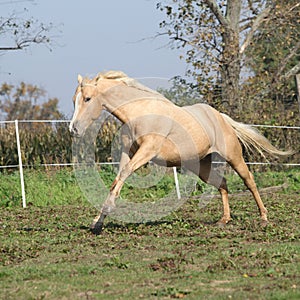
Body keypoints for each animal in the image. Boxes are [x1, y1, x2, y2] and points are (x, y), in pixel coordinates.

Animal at [69, 71, 290, 234]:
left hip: (234, 157)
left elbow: (123, 175)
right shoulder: (127, 153)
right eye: (74, 100)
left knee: (249, 181)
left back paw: (263, 218)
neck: (139, 113)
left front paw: (106, 212)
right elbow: (117, 180)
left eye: (87, 99)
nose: (74, 129)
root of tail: (220, 117)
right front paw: (97, 222)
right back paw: (224, 220)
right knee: (222, 184)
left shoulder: (147, 152)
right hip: (202, 166)